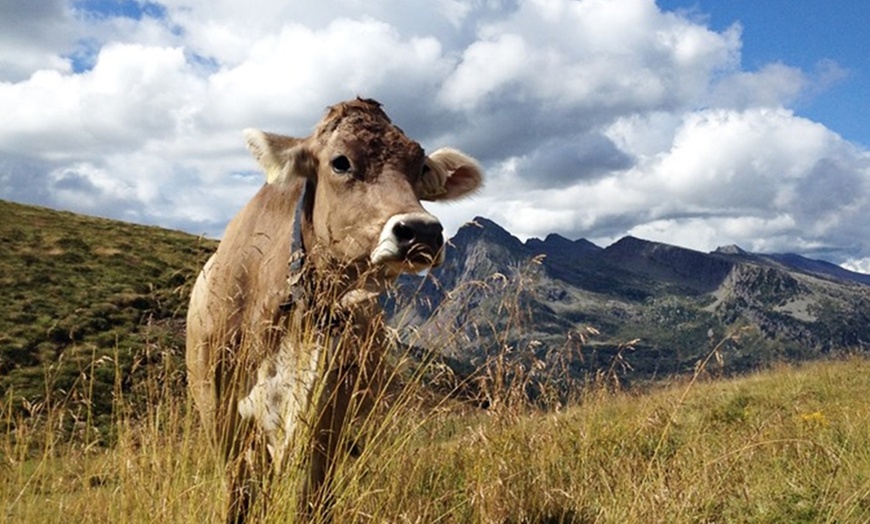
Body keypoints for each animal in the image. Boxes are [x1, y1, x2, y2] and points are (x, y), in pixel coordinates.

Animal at [186, 97, 484, 520]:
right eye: (340, 162)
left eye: (420, 166)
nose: (423, 232)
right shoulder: (220, 413)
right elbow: (239, 499)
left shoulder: (330, 415)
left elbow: (312, 500)